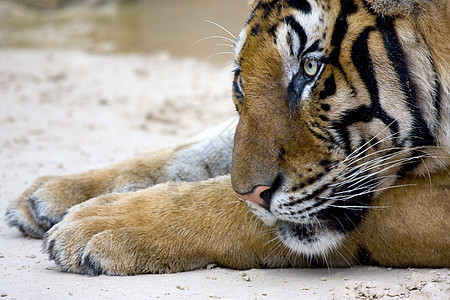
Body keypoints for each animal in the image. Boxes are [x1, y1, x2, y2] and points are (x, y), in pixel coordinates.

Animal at [4, 0, 450, 276]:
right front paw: (54, 193)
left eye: (310, 68)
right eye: (240, 79)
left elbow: (227, 203)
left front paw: (97, 222)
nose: (253, 191)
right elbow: (196, 149)